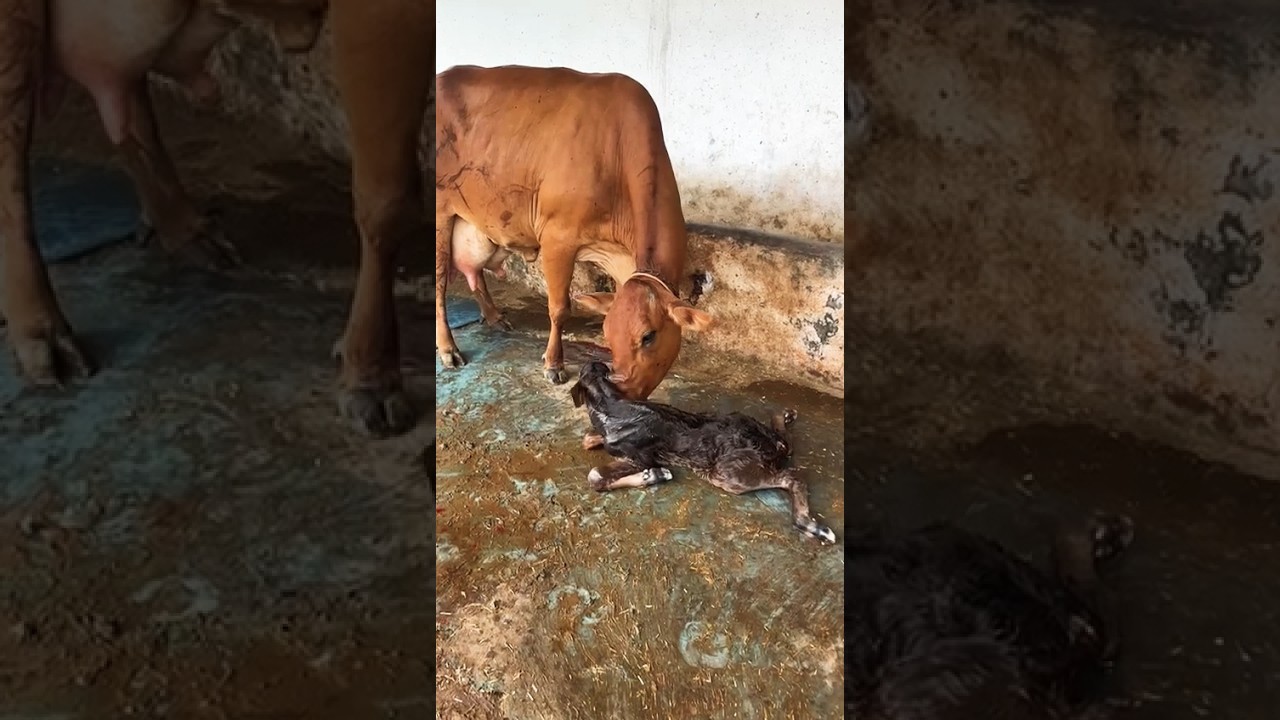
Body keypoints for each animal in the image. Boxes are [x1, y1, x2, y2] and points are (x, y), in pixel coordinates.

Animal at [433, 65, 714, 424]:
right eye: (608, 333)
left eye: (648, 336)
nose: (620, 392)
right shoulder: (558, 237)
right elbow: (559, 307)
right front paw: (553, 364)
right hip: (440, 213)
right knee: (440, 284)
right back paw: (449, 349)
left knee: (475, 274)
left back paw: (495, 317)